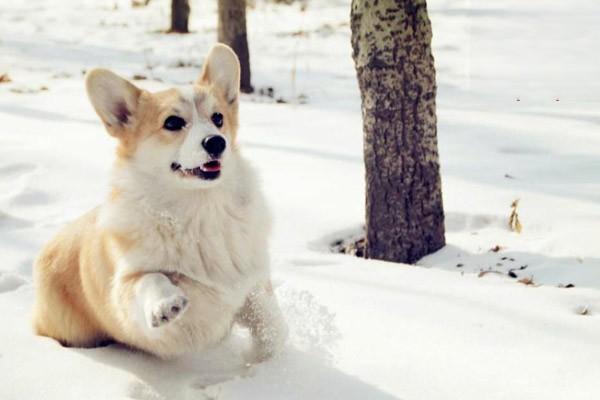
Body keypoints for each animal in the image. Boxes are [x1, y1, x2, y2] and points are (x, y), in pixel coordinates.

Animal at [31, 43, 290, 360]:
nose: (217, 142)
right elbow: (152, 278)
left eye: (218, 118)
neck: (199, 208)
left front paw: (264, 362)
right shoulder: (128, 289)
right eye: (173, 122)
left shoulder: (252, 282)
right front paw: (166, 305)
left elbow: (272, 325)